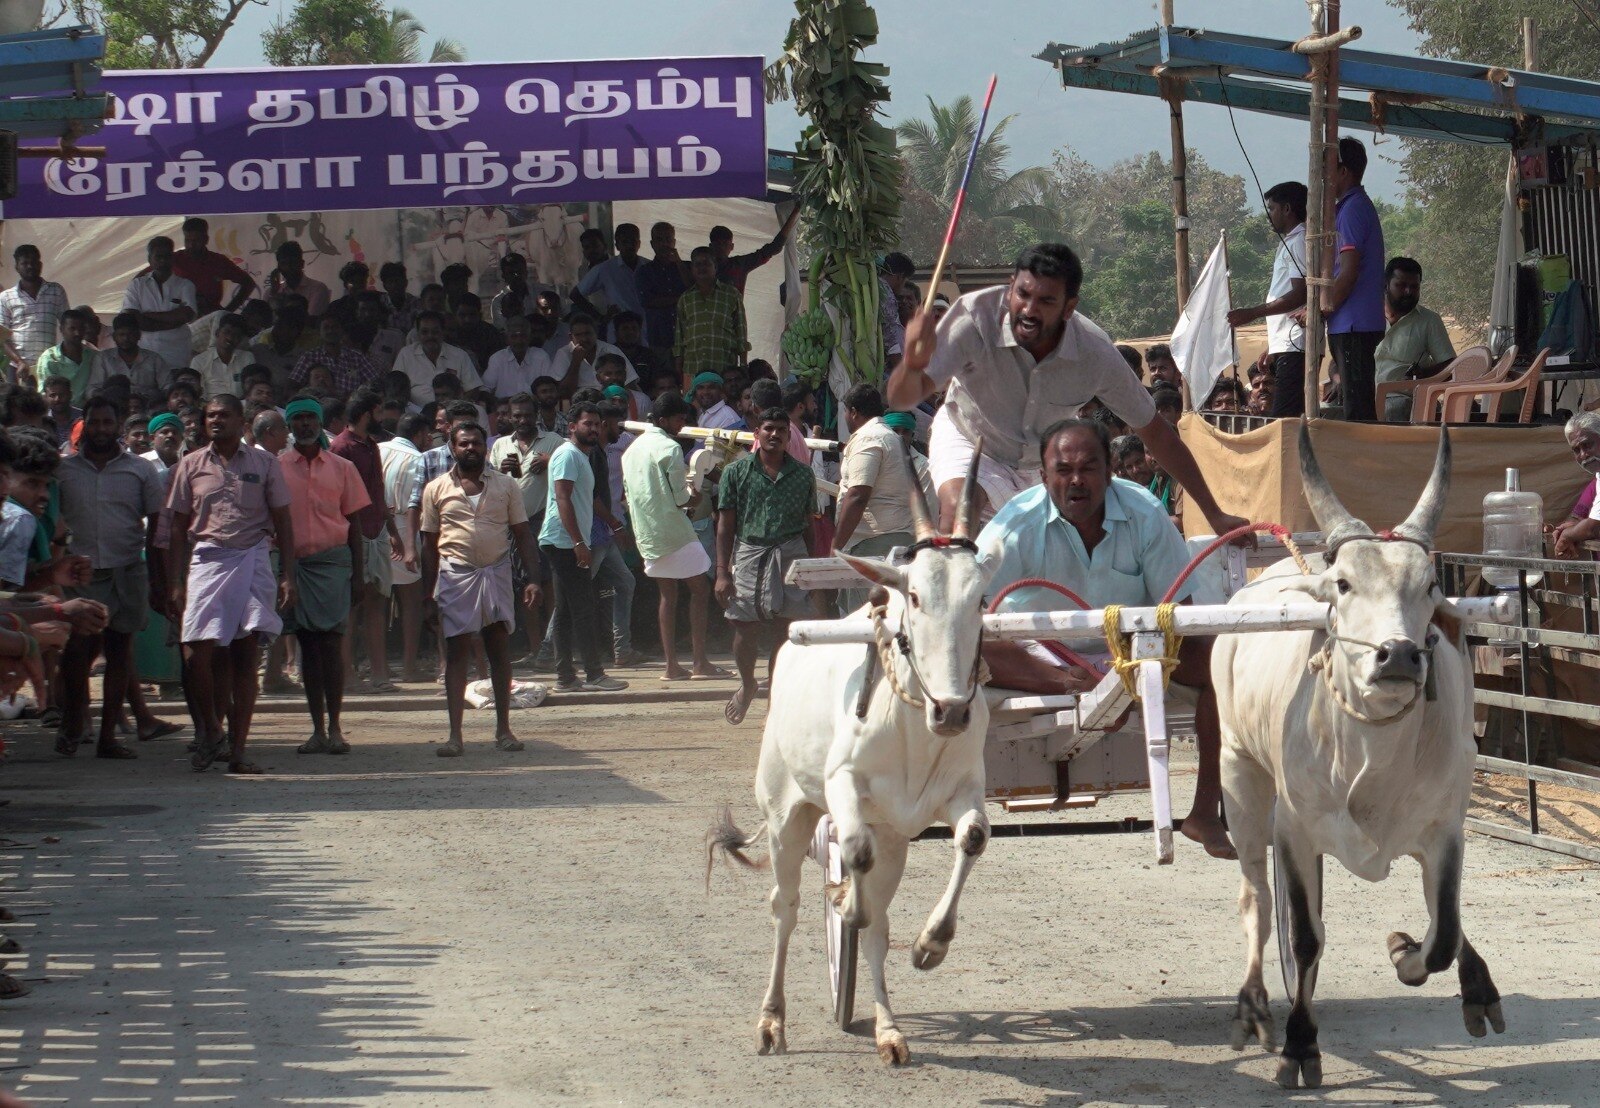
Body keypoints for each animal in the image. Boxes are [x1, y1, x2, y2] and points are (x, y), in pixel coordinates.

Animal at [710, 445, 992, 1063]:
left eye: (981, 598)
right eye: (916, 596)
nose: (952, 712)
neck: (913, 725)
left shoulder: (960, 792)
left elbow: (973, 840)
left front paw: (931, 944)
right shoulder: (844, 787)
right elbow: (853, 857)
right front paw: (843, 903)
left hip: (896, 839)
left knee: (879, 927)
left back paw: (889, 1029)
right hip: (785, 817)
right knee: (786, 906)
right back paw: (772, 1020)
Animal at [1216, 425, 1504, 1088]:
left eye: (1430, 585)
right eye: (1344, 584)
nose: (1397, 655)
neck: (1374, 759)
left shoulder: (1446, 829)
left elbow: (1443, 931)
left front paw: (1405, 953)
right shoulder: (1293, 830)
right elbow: (1305, 939)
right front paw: (1300, 1046)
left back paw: (1477, 986)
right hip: (1238, 773)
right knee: (1255, 897)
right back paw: (1253, 1003)